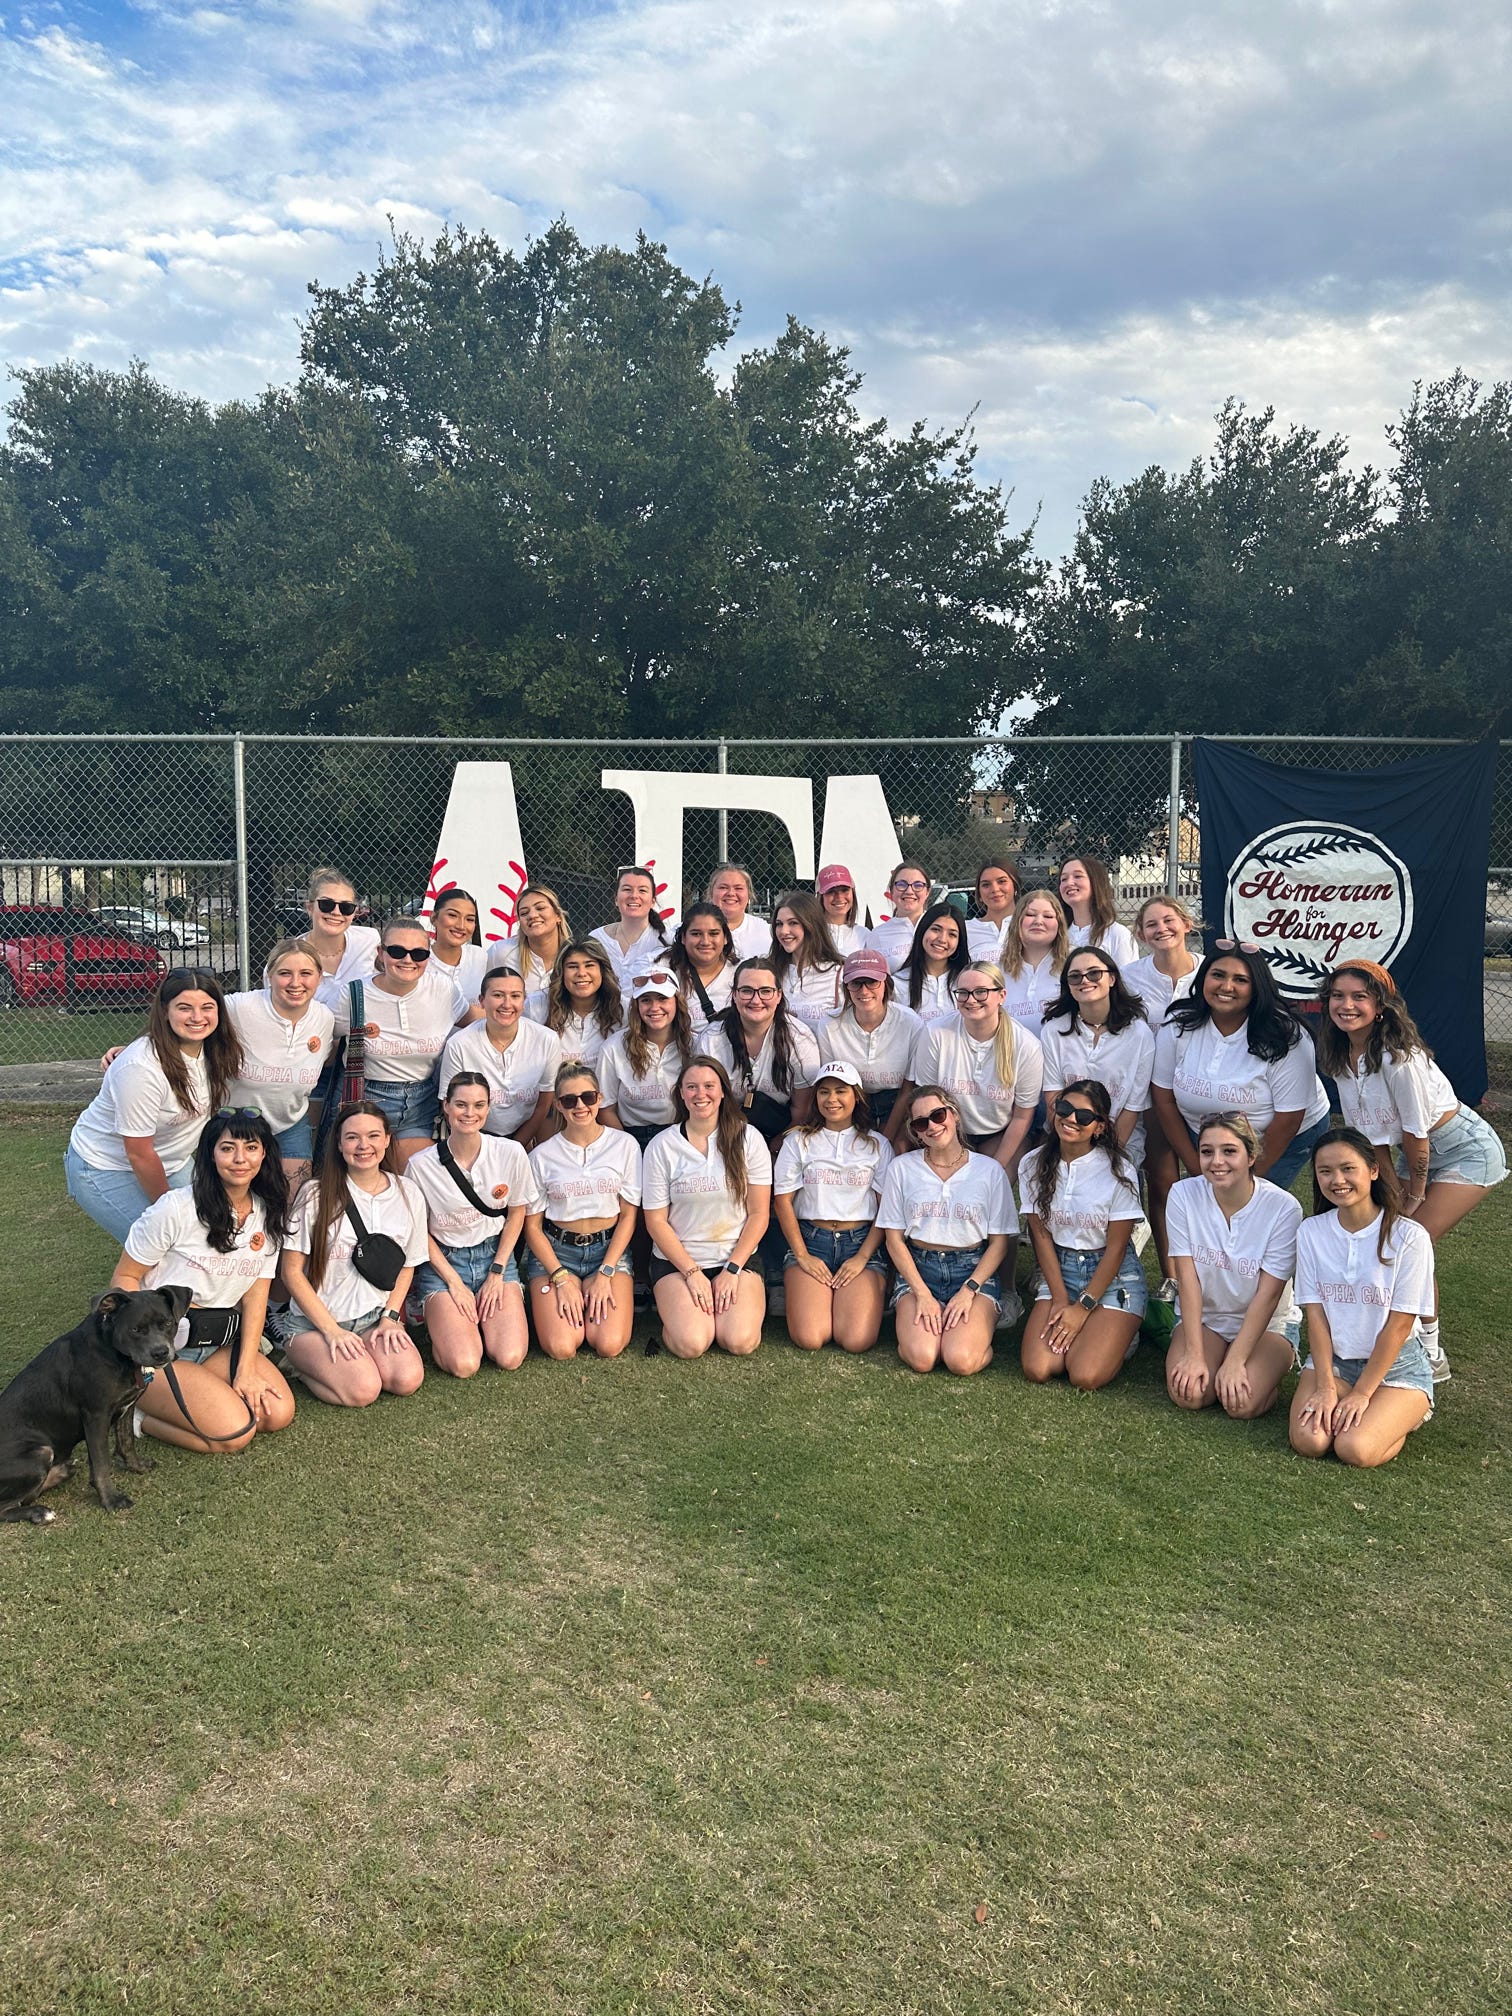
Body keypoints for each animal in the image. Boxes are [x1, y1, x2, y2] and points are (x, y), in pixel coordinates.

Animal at [0, 1282, 192, 1516]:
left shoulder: (127, 1406)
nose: (161, 1352)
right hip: (41, 1452)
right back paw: (39, 1513)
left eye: (167, 1323)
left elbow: (126, 1442)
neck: (114, 1351)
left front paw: (136, 1467)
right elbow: (102, 1464)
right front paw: (111, 1500)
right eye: (135, 1330)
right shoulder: (96, 1417)